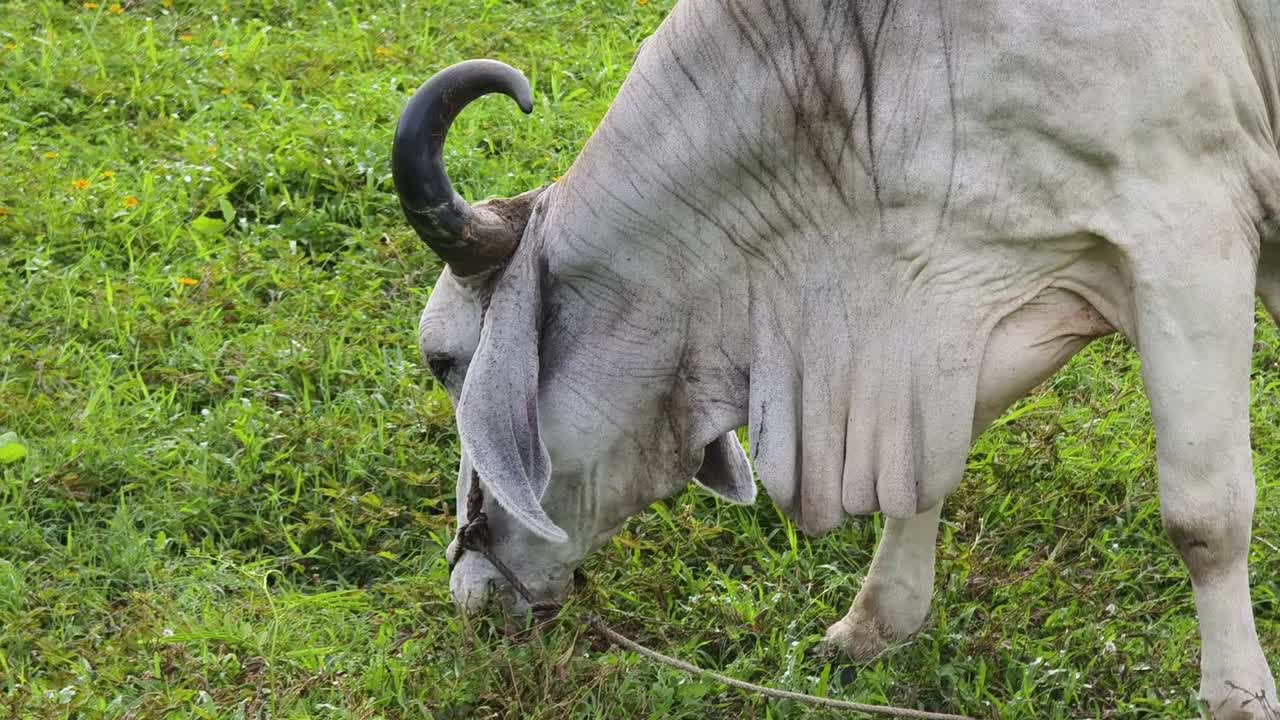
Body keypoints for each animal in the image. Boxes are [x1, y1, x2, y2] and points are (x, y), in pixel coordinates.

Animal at [392, 2, 1280, 716]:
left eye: (443, 359)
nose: (470, 589)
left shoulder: (1188, 232)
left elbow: (1204, 515)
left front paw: (1237, 695)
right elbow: (930, 468)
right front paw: (874, 623)